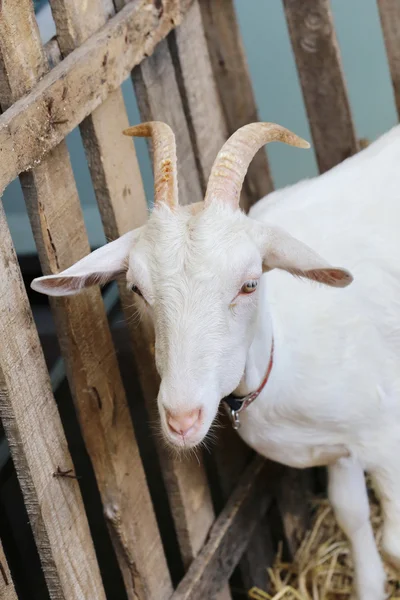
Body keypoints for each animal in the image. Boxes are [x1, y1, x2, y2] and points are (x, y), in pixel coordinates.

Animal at [32, 119, 400, 596]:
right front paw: (369, 586)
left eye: (249, 283)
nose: (182, 418)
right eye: (136, 288)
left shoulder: (386, 433)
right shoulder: (340, 447)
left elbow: (393, 543)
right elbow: (350, 514)